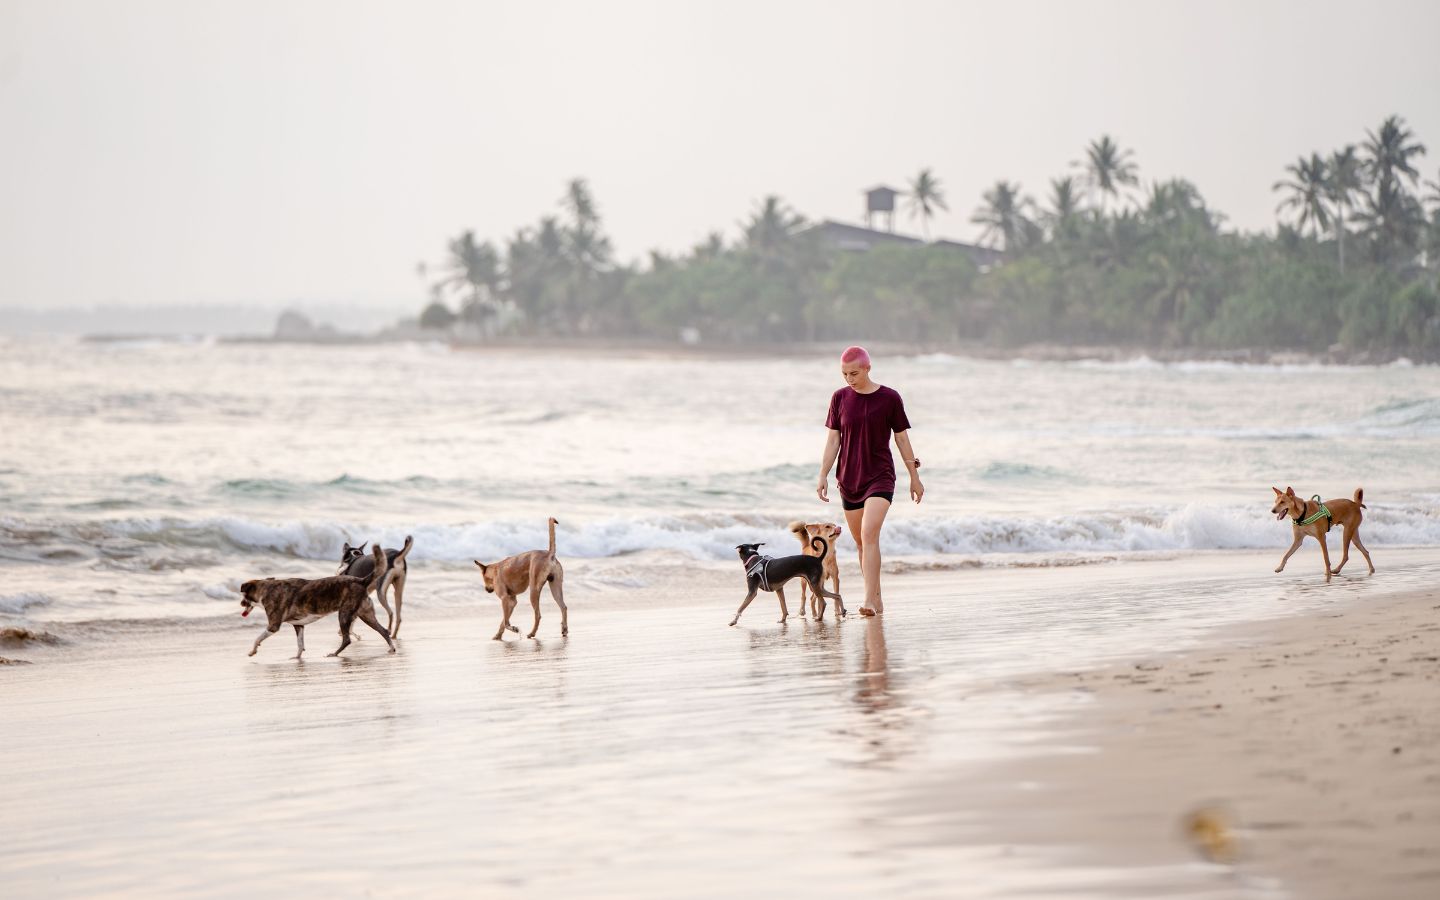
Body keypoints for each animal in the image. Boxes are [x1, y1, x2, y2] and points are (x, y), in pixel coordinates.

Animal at [241, 541, 397, 659]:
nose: (241, 603)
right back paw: (391, 648)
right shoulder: (299, 625)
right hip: (366, 614)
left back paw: (335, 654)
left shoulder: (273, 626)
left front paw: (252, 651)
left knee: (347, 639)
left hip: (344, 614)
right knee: (384, 631)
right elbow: (300, 644)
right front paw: (297, 658)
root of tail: (361, 581)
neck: (267, 588)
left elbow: (257, 638)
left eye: (243, 596)